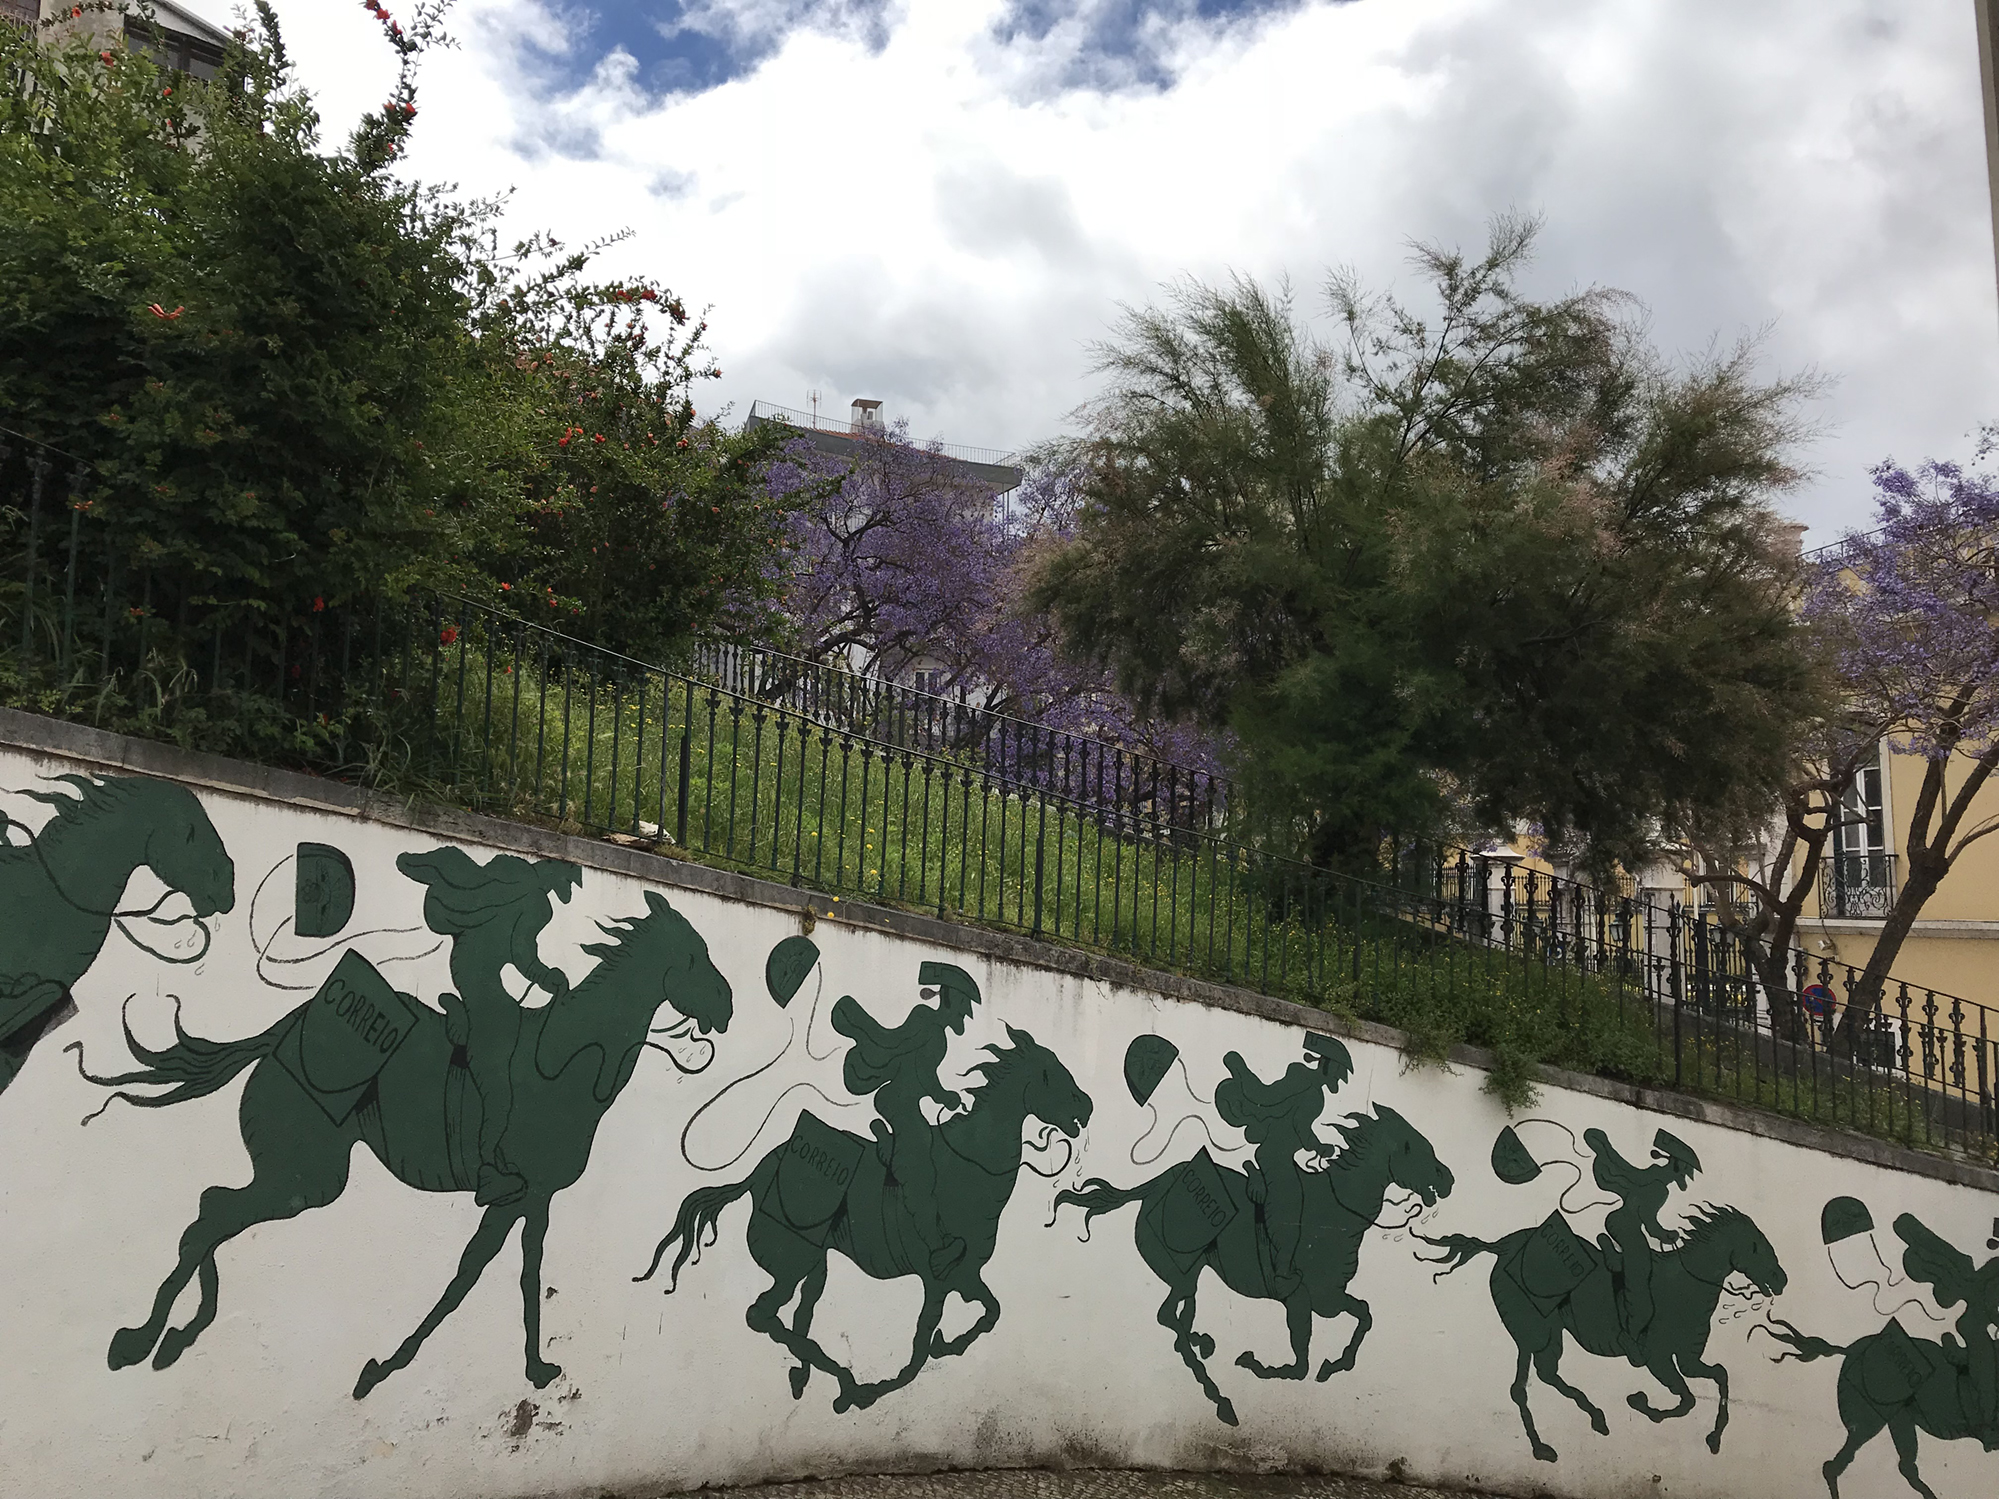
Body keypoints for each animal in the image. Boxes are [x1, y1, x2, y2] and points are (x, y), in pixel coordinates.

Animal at [71, 888, 731, 1397]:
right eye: (693, 958)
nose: (725, 1010)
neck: (570, 1063)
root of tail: (283, 1033)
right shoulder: (521, 1193)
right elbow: (477, 1278)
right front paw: (384, 1370)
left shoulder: (528, 1199)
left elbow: (505, 1272)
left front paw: (532, 1369)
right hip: (306, 1175)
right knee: (215, 1214)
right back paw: (142, 1340)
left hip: (296, 1175)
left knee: (214, 1209)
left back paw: (175, 1335)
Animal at [638, 1023, 1092, 1413]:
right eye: (1049, 1074)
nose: (1086, 1107)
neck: (970, 1166)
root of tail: (758, 1171)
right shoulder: (938, 1279)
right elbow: (918, 1351)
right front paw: (877, 1388)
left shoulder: (965, 1277)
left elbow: (989, 1314)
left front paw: (949, 1345)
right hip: (791, 1261)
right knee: (762, 1315)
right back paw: (846, 1384)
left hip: (815, 1261)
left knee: (800, 1313)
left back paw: (806, 1377)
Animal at [1055, 1104, 1454, 1426]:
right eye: (1412, 1147)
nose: (1447, 1179)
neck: (1338, 1213)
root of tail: (1155, 1185)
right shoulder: (1300, 1297)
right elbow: (1299, 1363)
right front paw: (1257, 1364)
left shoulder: (1330, 1297)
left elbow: (1364, 1316)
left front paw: (1334, 1366)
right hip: (1178, 1269)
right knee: (1170, 1317)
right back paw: (1220, 1397)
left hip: (1193, 1272)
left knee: (1182, 1316)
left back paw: (1203, 1347)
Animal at [1419, 1204, 1788, 1461]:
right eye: (1755, 1245)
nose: (1781, 1279)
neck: (1687, 1282)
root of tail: (1501, 1247)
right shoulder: (1658, 1358)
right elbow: (1687, 1400)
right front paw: (1643, 1405)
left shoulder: (1688, 1358)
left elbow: (1720, 1377)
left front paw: (1714, 1438)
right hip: (1534, 1329)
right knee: (1526, 1385)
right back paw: (1560, 1437)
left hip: (1543, 1332)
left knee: (1537, 1378)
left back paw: (1582, 1424)